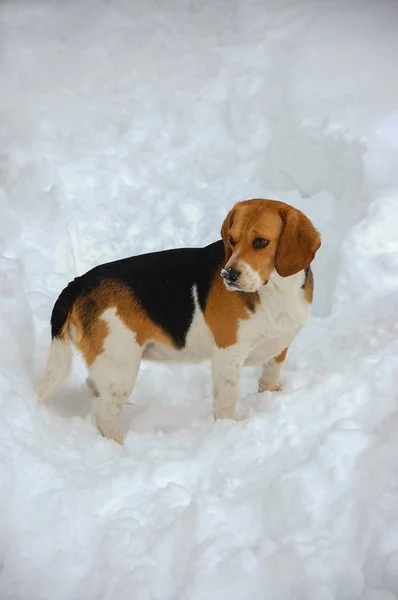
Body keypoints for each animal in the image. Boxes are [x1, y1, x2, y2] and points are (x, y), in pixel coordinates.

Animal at [36, 199, 320, 442]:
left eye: (261, 242)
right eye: (231, 239)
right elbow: (227, 399)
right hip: (121, 364)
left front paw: (271, 396)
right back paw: (122, 445)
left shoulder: (280, 346)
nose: (228, 275)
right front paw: (231, 428)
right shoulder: (228, 354)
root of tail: (80, 282)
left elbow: (270, 374)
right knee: (105, 416)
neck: (275, 290)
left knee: (95, 388)